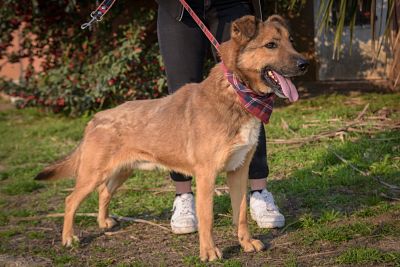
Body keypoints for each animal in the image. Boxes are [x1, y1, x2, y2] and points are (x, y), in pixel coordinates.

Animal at [35, 14, 310, 262]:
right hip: (93, 174)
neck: (237, 92)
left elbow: (241, 213)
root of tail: (95, 118)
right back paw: (68, 238)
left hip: (121, 170)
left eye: (291, 41)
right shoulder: (207, 175)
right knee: (71, 200)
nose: (305, 64)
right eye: (271, 45)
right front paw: (209, 252)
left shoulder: (239, 171)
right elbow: (207, 218)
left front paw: (246, 243)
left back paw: (103, 222)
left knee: (104, 192)